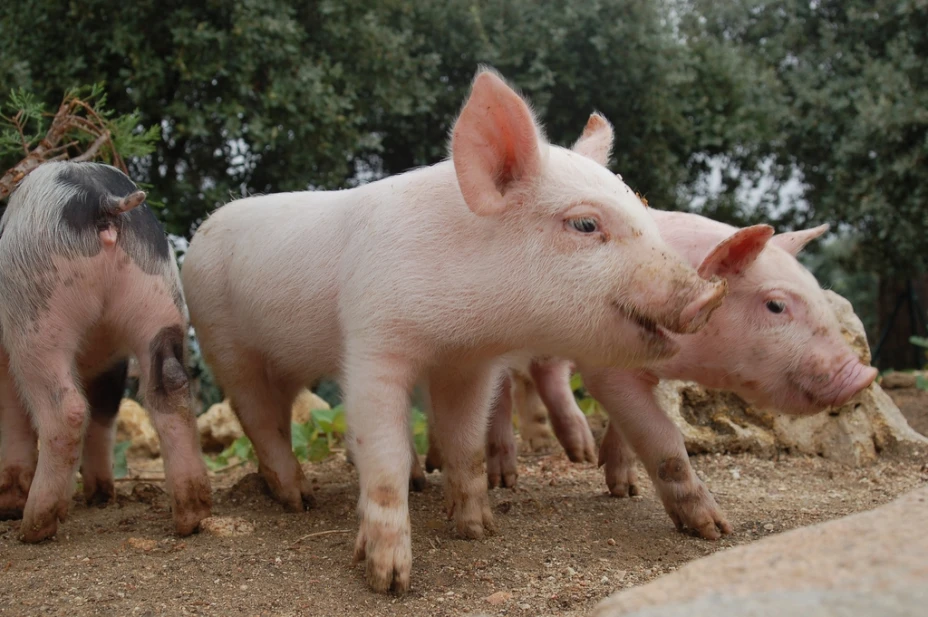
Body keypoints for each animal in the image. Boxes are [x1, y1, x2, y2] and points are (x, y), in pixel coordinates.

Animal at [0, 161, 211, 541]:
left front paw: (7, 507)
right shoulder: (110, 358)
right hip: (158, 296)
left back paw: (32, 528)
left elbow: (14, 418)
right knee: (169, 388)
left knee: (67, 410)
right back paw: (188, 516)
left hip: (35, 315)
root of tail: (104, 202)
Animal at [181, 67, 727, 594]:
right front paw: (388, 580)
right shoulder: (374, 342)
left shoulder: (469, 365)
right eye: (585, 225)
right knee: (256, 414)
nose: (708, 294)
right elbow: (385, 453)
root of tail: (202, 230)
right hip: (222, 340)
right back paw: (301, 500)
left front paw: (478, 529)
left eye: (642, 206)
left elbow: (466, 443)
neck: (460, 327)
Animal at [428, 209, 878, 540]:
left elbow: (628, 430)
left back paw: (579, 454)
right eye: (776, 305)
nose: (864, 374)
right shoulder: (608, 370)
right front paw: (715, 531)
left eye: (819, 292)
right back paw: (500, 479)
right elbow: (662, 437)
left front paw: (624, 489)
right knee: (498, 392)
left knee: (544, 373)